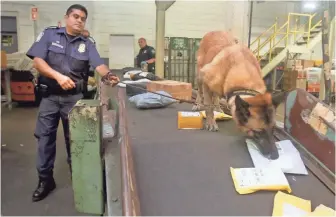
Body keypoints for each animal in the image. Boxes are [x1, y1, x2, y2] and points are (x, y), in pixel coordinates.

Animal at [193, 31, 284, 159]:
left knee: (215, 95)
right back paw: (198, 103)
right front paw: (211, 122)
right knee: (200, 91)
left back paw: (218, 107)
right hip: (199, 75)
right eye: (258, 132)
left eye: (274, 130)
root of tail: (214, 31)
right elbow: (208, 107)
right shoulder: (206, 80)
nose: (276, 156)